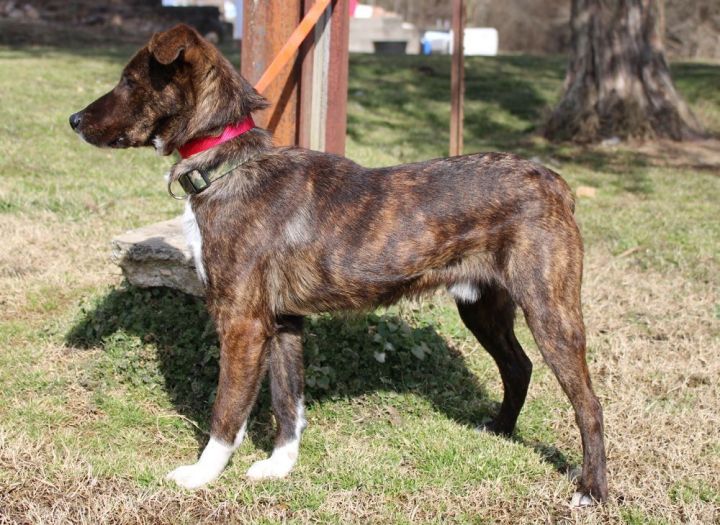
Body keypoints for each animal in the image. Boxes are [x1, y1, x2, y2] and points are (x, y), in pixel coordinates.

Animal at [69, 24, 608, 504]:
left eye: (129, 81)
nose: (73, 120)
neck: (225, 164)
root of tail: (554, 181)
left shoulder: (242, 325)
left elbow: (226, 413)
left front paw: (202, 474)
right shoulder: (283, 322)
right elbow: (288, 404)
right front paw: (279, 467)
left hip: (549, 311)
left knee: (589, 405)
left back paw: (592, 489)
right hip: (482, 307)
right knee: (518, 367)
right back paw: (499, 429)